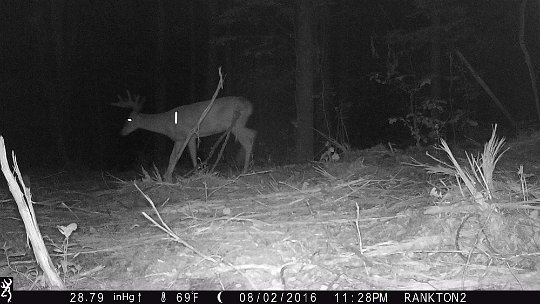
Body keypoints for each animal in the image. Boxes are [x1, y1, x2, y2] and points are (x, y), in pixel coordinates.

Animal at [111, 90, 255, 180]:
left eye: (128, 120)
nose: (121, 132)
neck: (166, 123)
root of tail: (249, 105)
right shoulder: (183, 138)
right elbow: (179, 156)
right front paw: (169, 176)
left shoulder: (186, 135)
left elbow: (183, 156)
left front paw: (191, 174)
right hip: (239, 124)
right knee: (252, 134)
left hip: (236, 124)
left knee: (248, 140)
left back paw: (244, 170)